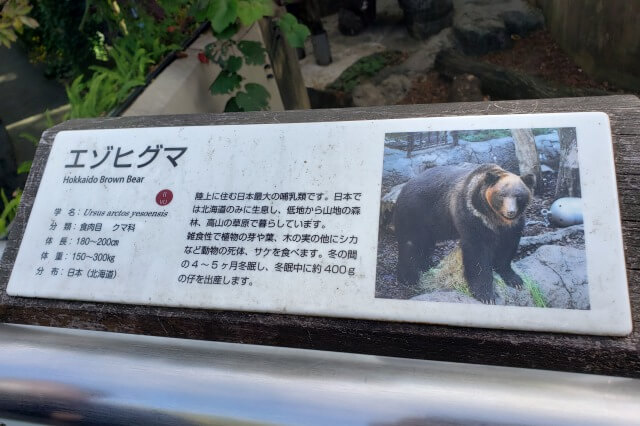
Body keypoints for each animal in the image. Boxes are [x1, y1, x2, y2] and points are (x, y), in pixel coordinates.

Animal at [396, 163, 536, 302]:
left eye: (518, 196)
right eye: (502, 195)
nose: (510, 212)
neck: (494, 219)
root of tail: (405, 187)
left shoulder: (513, 226)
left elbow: (507, 248)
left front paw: (515, 279)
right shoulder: (472, 216)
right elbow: (477, 254)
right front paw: (486, 294)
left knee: (425, 245)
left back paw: (426, 265)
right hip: (416, 214)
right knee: (411, 244)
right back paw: (409, 277)